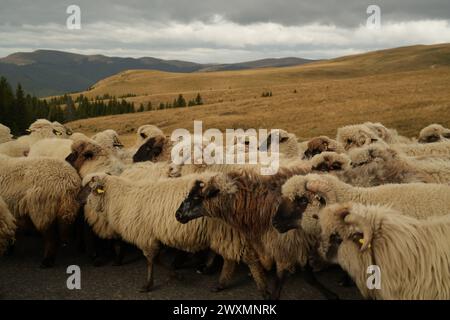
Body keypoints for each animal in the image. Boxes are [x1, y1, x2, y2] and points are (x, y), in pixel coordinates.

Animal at [80, 171, 270, 298]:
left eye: (90, 189)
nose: (80, 201)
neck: (120, 198)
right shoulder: (151, 235)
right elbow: (156, 259)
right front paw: (175, 275)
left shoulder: (145, 236)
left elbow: (151, 260)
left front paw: (148, 285)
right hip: (225, 233)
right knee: (230, 259)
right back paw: (220, 284)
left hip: (228, 231)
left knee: (248, 259)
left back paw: (262, 289)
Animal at [175, 166, 338, 302]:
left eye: (197, 197)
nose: (177, 215)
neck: (257, 205)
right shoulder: (288, 244)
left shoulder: (289, 242)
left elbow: (293, 277)